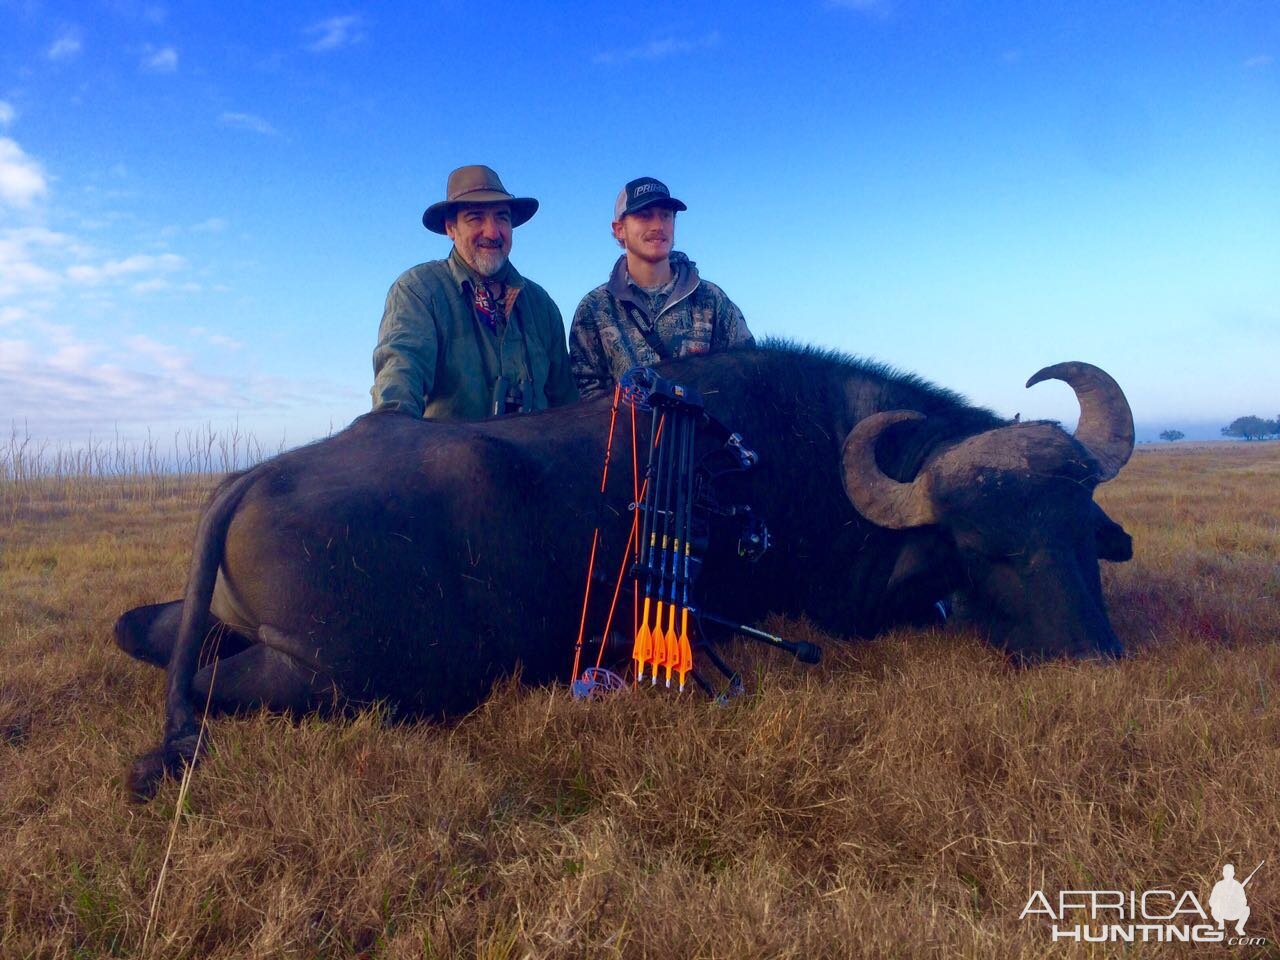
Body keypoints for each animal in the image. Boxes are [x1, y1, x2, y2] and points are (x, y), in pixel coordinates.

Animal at [120, 343, 1136, 798]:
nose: (1091, 659)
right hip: (348, 676)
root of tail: (255, 476)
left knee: (146, 632)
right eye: (986, 546)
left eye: (1079, 531)